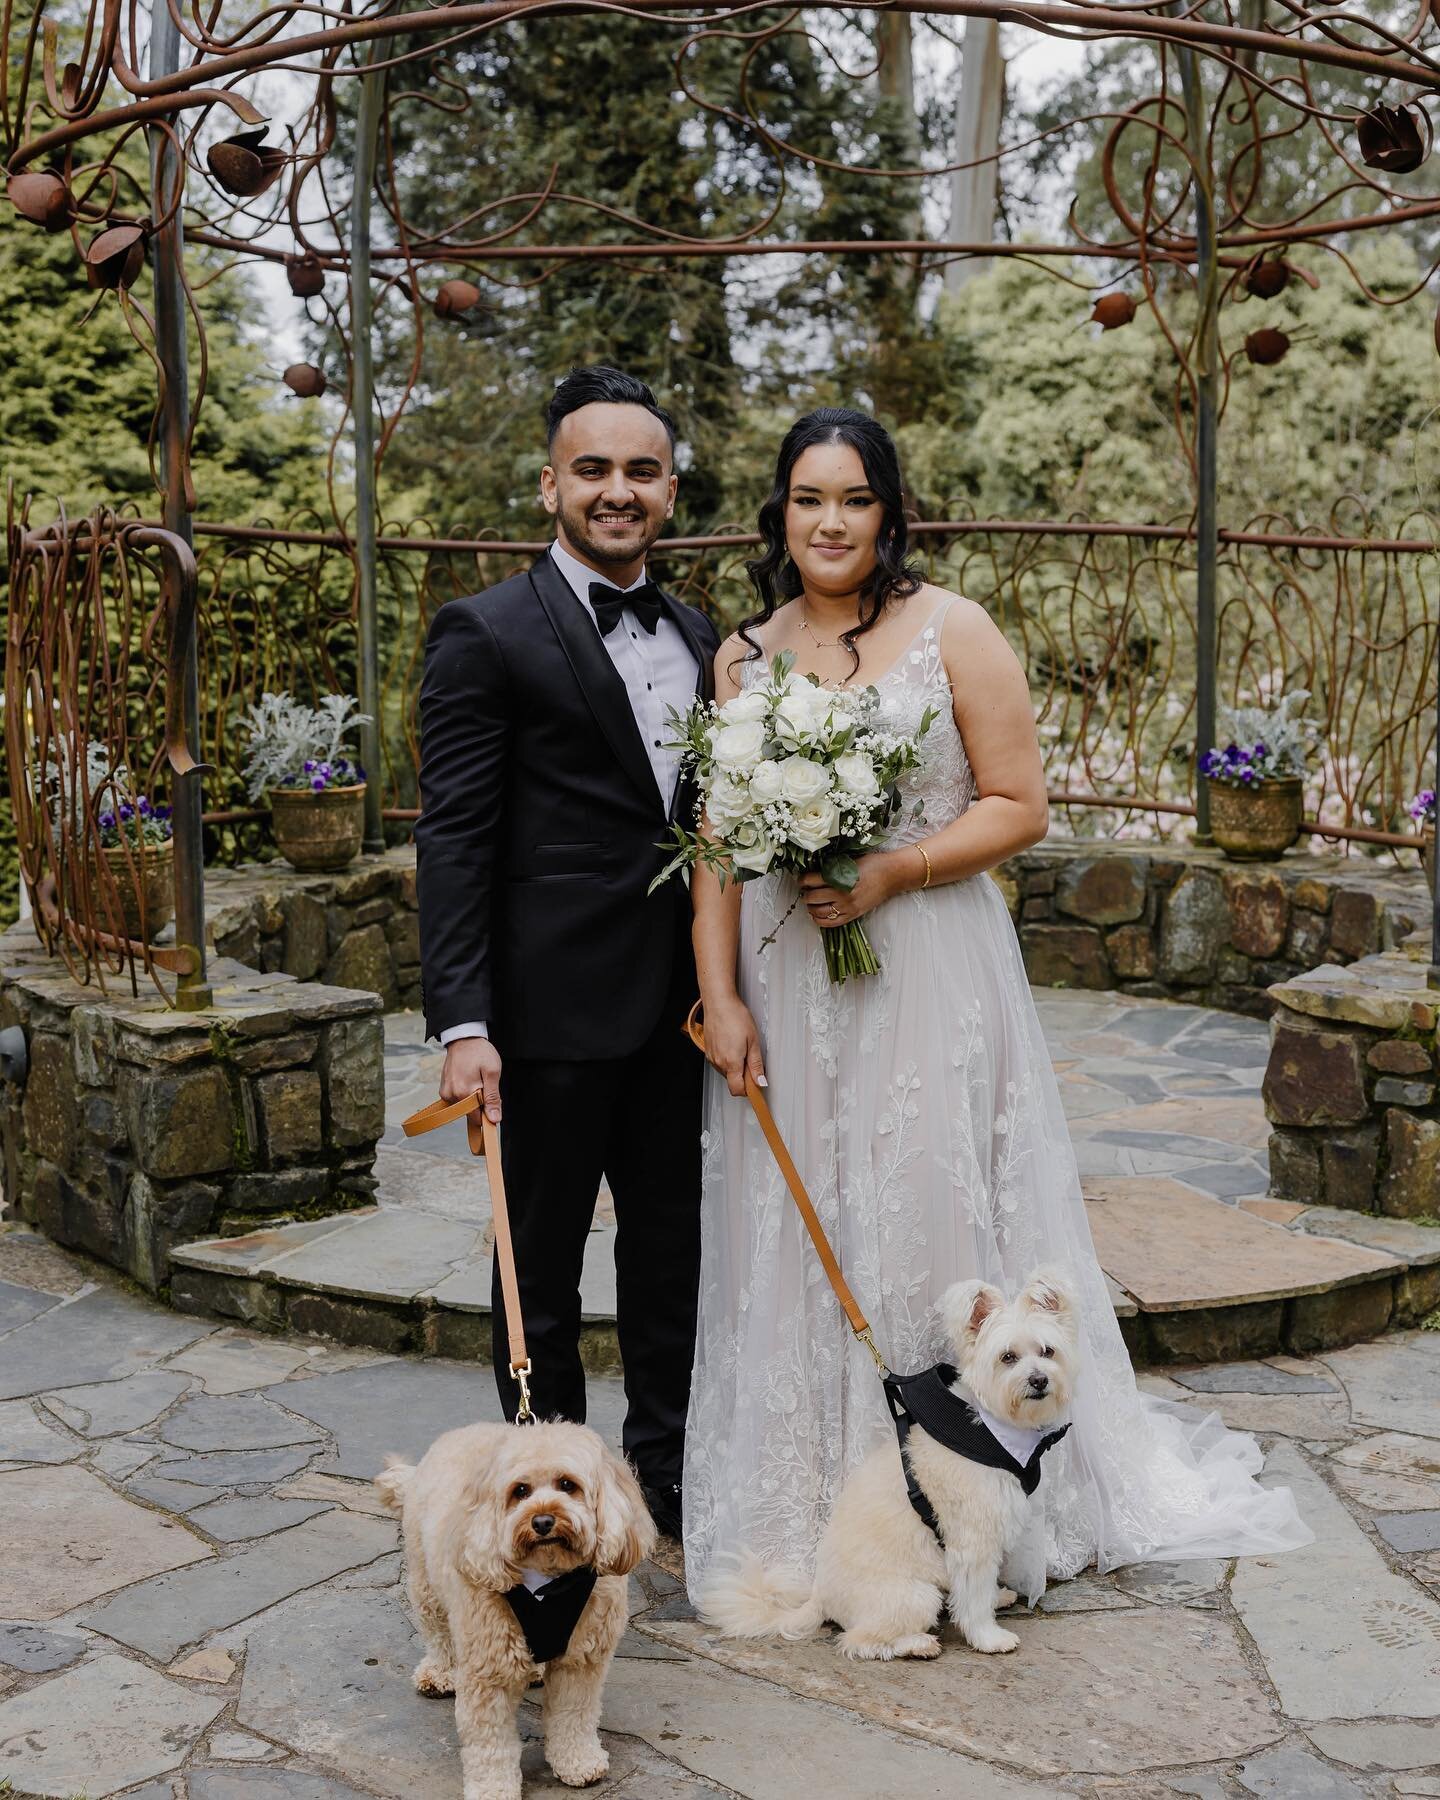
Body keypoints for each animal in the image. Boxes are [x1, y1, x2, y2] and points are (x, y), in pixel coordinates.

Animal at [376, 1418, 658, 1800]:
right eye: (520, 1491)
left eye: (567, 1485)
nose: (542, 1521)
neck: (550, 1581)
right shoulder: (488, 1667)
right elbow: (491, 1741)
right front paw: (493, 1788)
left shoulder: (581, 1661)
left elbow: (574, 1714)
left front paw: (578, 1761)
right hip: (426, 1583)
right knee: (438, 1633)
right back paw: (439, 1673)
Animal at [698, 1267, 1080, 1656]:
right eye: (1007, 1357)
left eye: (1047, 1351)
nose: (1039, 1380)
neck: (991, 1427)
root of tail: (820, 1597)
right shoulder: (972, 1543)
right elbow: (973, 1601)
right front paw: (989, 1638)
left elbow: (982, 1592)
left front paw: (996, 1597)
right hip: (914, 1596)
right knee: (860, 1641)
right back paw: (918, 1644)